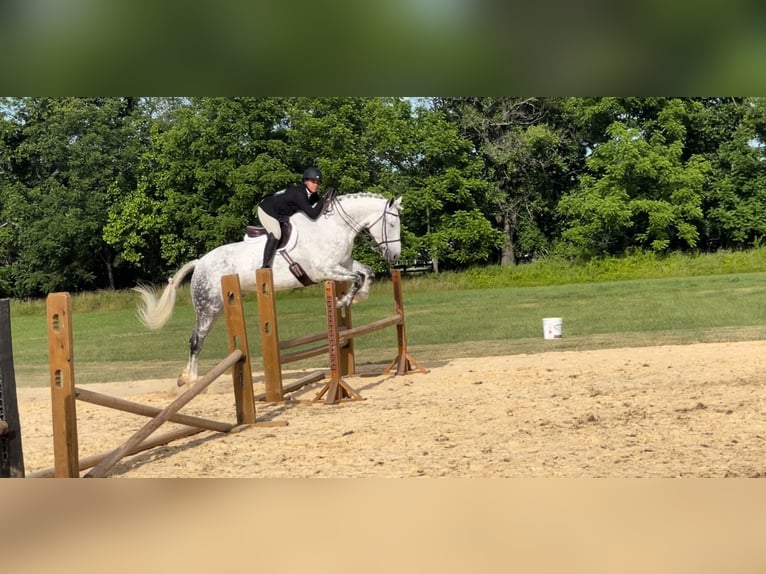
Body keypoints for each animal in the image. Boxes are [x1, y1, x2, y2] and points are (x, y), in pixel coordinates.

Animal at [133, 192, 403, 387]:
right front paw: (342, 301)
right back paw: (190, 380)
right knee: (196, 340)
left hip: (218, 307)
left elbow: (366, 272)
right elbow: (356, 278)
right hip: (207, 308)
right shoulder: (323, 270)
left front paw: (357, 298)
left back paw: (186, 378)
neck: (333, 227)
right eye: (391, 223)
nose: (395, 256)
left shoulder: (342, 263)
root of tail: (200, 263)